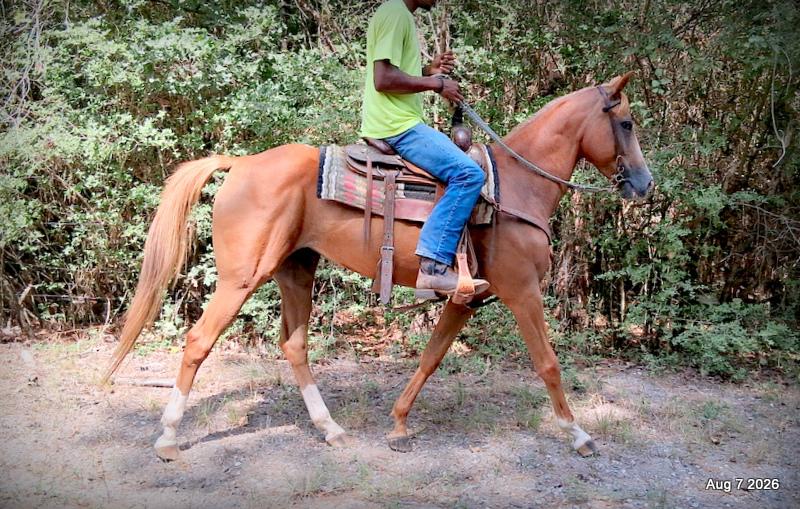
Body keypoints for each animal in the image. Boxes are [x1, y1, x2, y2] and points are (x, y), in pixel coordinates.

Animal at [102, 72, 653, 461]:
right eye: (626, 123)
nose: (644, 184)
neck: (517, 186)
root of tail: (241, 162)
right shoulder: (521, 291)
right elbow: (548, 363)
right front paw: (578, 433)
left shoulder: (466, 298)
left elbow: (431, 357)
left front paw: (400, 423)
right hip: (242, 277)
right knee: (199, 341)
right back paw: (168, 438)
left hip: (295, 269)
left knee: (294, 345)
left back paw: (330, 429)